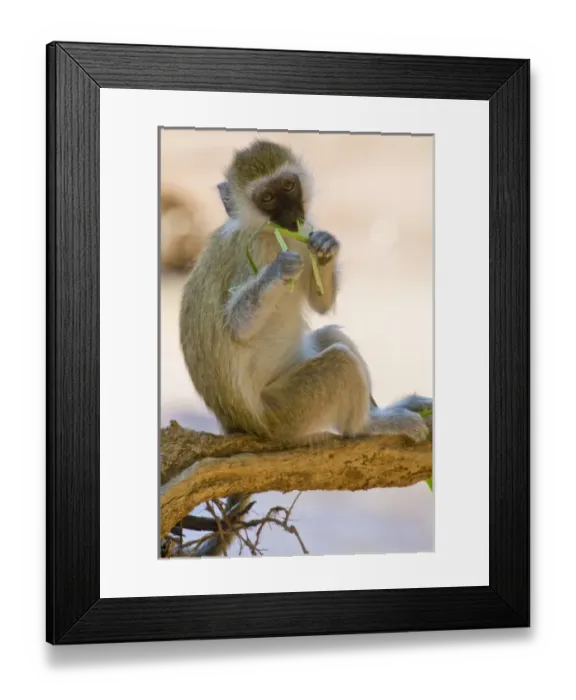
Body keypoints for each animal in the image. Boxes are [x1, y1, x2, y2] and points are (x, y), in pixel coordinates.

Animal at [178, 139, 432, 555]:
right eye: (267, 197)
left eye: (288, 186)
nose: (291, 215)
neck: (267, 234)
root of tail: (240, 426)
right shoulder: (246, 254)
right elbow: (235, 328)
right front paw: (278, 270)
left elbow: (321, 304)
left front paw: (327, 245)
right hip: (286, 415)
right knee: (340, 362)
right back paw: (369, 426)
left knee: (332, 338)